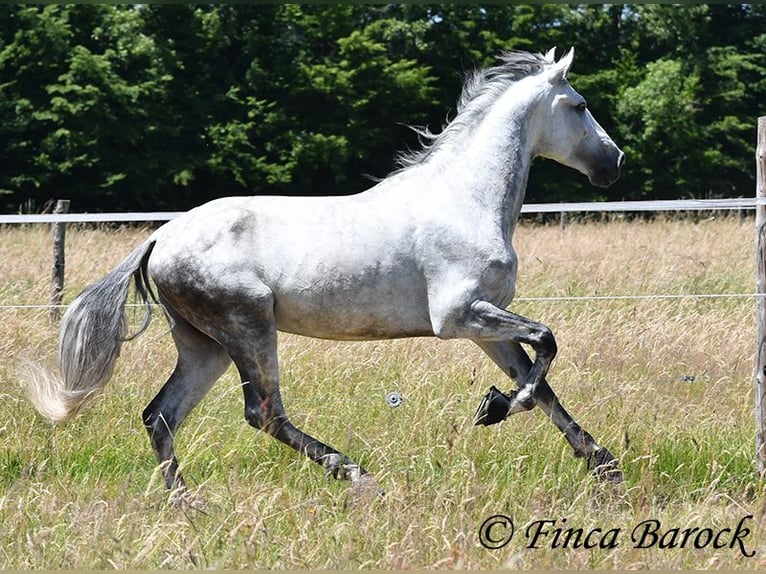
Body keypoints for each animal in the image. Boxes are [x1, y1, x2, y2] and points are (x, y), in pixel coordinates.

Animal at [27, 48, 625, 494]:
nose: (613, 164)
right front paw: (498, 408)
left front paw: (603, 466)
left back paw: (187, 506)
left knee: (161, 416)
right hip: (248, 327)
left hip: (205, 345)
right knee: (263, 412)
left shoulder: (484, 326)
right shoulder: (459, 317)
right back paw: (357, 476)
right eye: (579, 104)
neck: (466, 200)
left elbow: (541, 384)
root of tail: (160, 237)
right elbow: (545, 345)